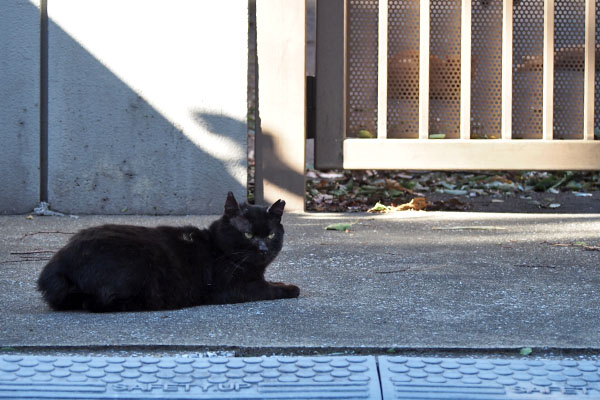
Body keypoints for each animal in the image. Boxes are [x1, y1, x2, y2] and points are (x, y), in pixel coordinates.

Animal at [37, 191, 300, 312]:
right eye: (248, 235)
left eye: (270, 235)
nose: (263, 248)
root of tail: (58, 265)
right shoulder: (233, 287)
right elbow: (268, 289)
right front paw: (290, 288)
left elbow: (271, 283)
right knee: (99, 301)